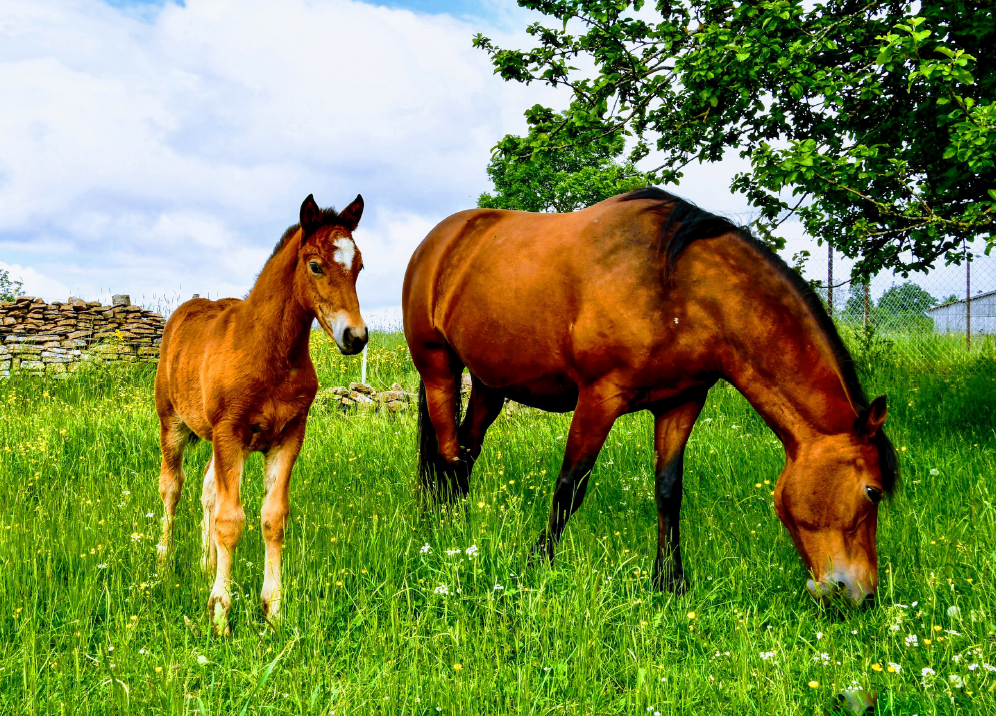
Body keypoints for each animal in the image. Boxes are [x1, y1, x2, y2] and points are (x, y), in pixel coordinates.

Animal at [155, 194, 368, 635]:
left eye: (359, 266)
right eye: (315, 265)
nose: (356, 337)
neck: (270, 352)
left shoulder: (288, 436)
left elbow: (273, 518)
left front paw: (273, 610)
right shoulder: (230, 432)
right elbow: (230, 520)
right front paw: (220, 614)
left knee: (207, 489)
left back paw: (205, 564)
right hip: (173, 424)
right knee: (172, 487)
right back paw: (164, 564)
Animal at [402, 187, 897, 605]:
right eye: (872, 492)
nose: (862, 595)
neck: (678, 288)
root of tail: (440, 239)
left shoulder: (681, 403)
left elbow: (668, 490)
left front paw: (671, 582)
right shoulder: (599, 397)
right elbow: (570, 486)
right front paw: (535, 565)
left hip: (490, 384)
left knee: (465, 453)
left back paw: (462, 530)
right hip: (439, 367)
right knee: (446, 453)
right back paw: (437, 533)